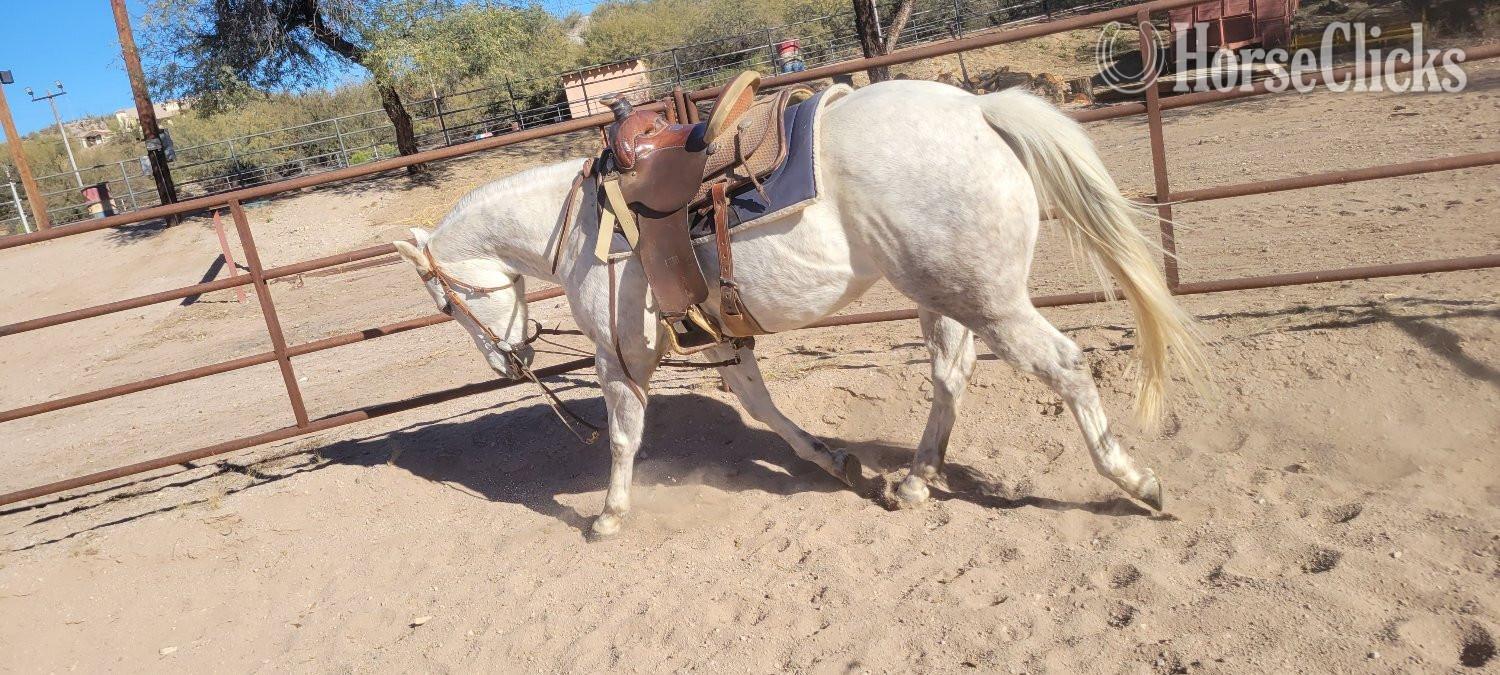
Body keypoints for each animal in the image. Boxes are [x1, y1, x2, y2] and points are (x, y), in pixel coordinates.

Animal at [391, 80, 1208, 537]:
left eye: (444, 303)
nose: (509, 361)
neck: (582, 226)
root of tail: (979, 107)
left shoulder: (620, 356)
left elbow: (623, 436)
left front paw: (609, 516)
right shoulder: (719, 336)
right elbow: (763, 409)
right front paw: (834, 461)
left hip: (988, 300)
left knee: (1062, 367)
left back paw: (1136, 482)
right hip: (944, 295)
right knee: (949, 377)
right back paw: (914, 481)